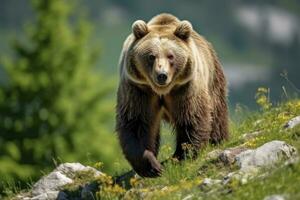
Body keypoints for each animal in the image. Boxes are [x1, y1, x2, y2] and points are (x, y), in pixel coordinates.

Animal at [116, 13, 229, 177]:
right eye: (151, 56)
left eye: (171, 56)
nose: (161, 75)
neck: (162, 91)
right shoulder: (138, 89)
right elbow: (135, 122)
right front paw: (151, 165)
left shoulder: (184, 88)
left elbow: (191, 117)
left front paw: (180, 157)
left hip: (213, 78)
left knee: (217, 114)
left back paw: (218, 140)